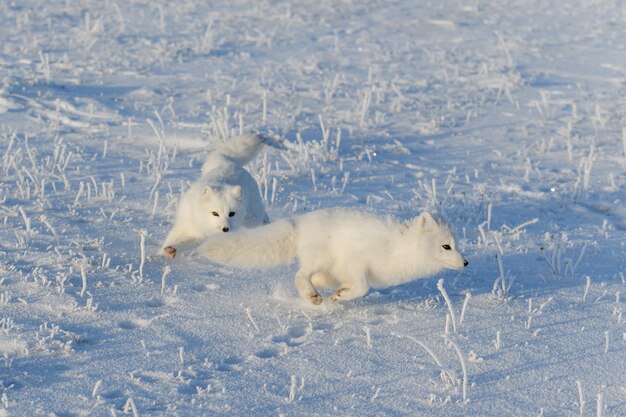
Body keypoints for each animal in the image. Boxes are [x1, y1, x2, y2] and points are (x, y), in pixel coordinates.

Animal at [197, 207, 466, 302]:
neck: (398, 250)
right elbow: (362, 287)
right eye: (446, 247)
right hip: (319, 257)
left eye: (456, 244)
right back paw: (312, 296)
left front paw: (339, 292)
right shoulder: (355, 261)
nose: (466, 262)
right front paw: (340, 296)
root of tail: (300, 221)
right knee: (300, 275)